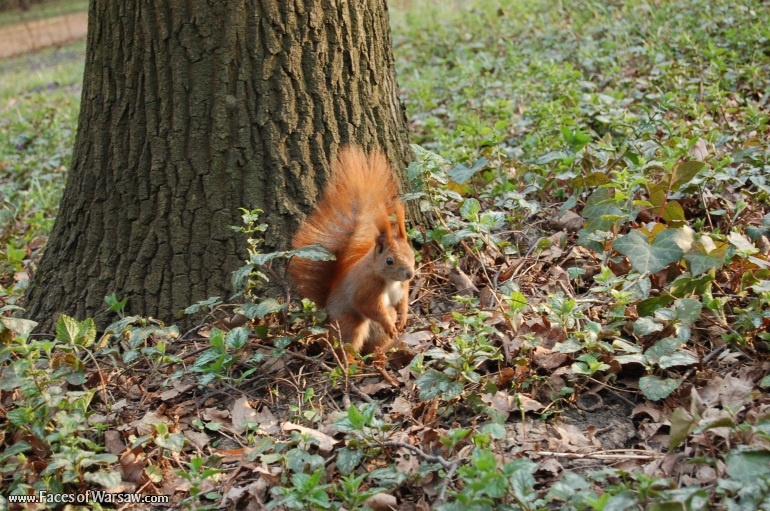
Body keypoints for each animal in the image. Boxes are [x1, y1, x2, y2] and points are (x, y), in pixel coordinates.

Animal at [289, 146, 415, 353]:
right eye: (389, 261)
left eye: (412, 254)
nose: (410, 274)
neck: (389, 280)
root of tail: (327, 320)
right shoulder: (366, 287)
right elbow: (368, 307)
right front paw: (390, 325)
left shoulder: (402, 288)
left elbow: (402, 302)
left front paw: (403, 318)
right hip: (349, 324)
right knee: (347, 345)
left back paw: (381, 352)